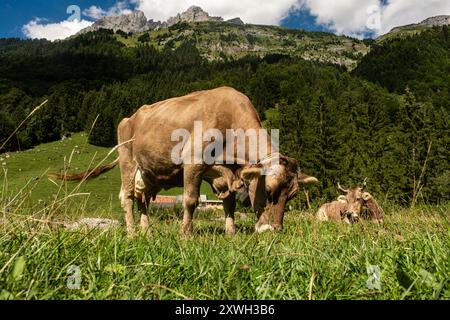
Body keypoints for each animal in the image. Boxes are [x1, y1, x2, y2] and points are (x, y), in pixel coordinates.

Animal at [49, 87, 318, 235]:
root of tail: (130, 117)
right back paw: (132, 232)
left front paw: (230, 232)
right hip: (128, 160)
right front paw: (186, 233)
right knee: (127, 197)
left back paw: (147, 231)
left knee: (143, 199)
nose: (275, 230)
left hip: (148, 173)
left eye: (292, 195)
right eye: (269, 191)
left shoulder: (222, 173)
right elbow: (190, 200)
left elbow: (229, 203)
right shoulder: (194, 161)